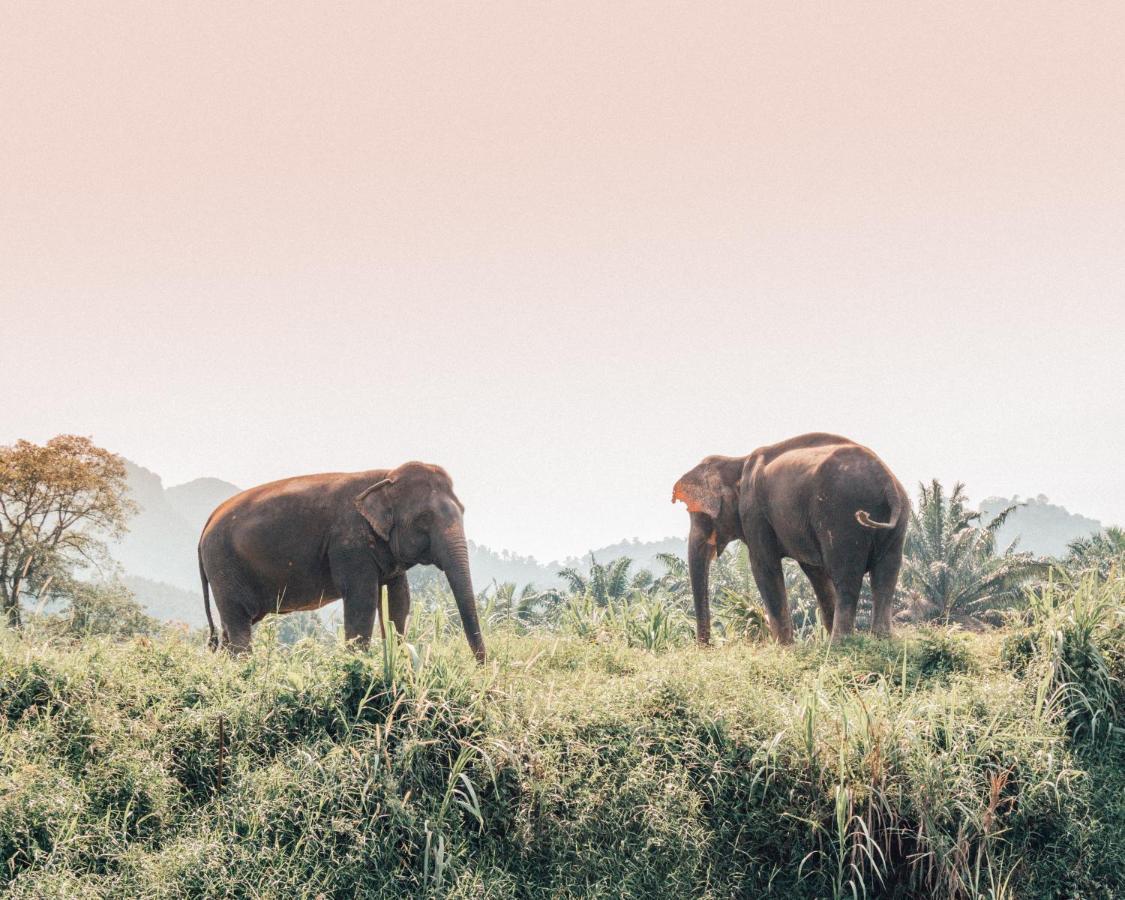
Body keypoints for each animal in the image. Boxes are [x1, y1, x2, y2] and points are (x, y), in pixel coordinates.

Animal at [196, 456, 483, 661]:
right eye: (424, 519)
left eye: (463, 510)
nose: (482, 667)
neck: (386, 476)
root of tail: (206, 525)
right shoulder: (349, 544)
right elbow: (362, 599)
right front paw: (358, 665)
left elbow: (399, 601)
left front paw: (399, 659)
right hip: (224, 565)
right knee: (238, 623)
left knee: (231, 627)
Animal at [670, 432, 909, 643]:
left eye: (699, 515)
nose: (707, 646)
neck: (736, 461)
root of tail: (886, 479)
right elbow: (815, 572)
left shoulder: (754, 512)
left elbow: (764, 567)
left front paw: (784, 648)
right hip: (896, 523)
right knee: (886, 575)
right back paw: (881, 639)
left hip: (841, 516)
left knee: (847, 576)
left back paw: (839, 644)